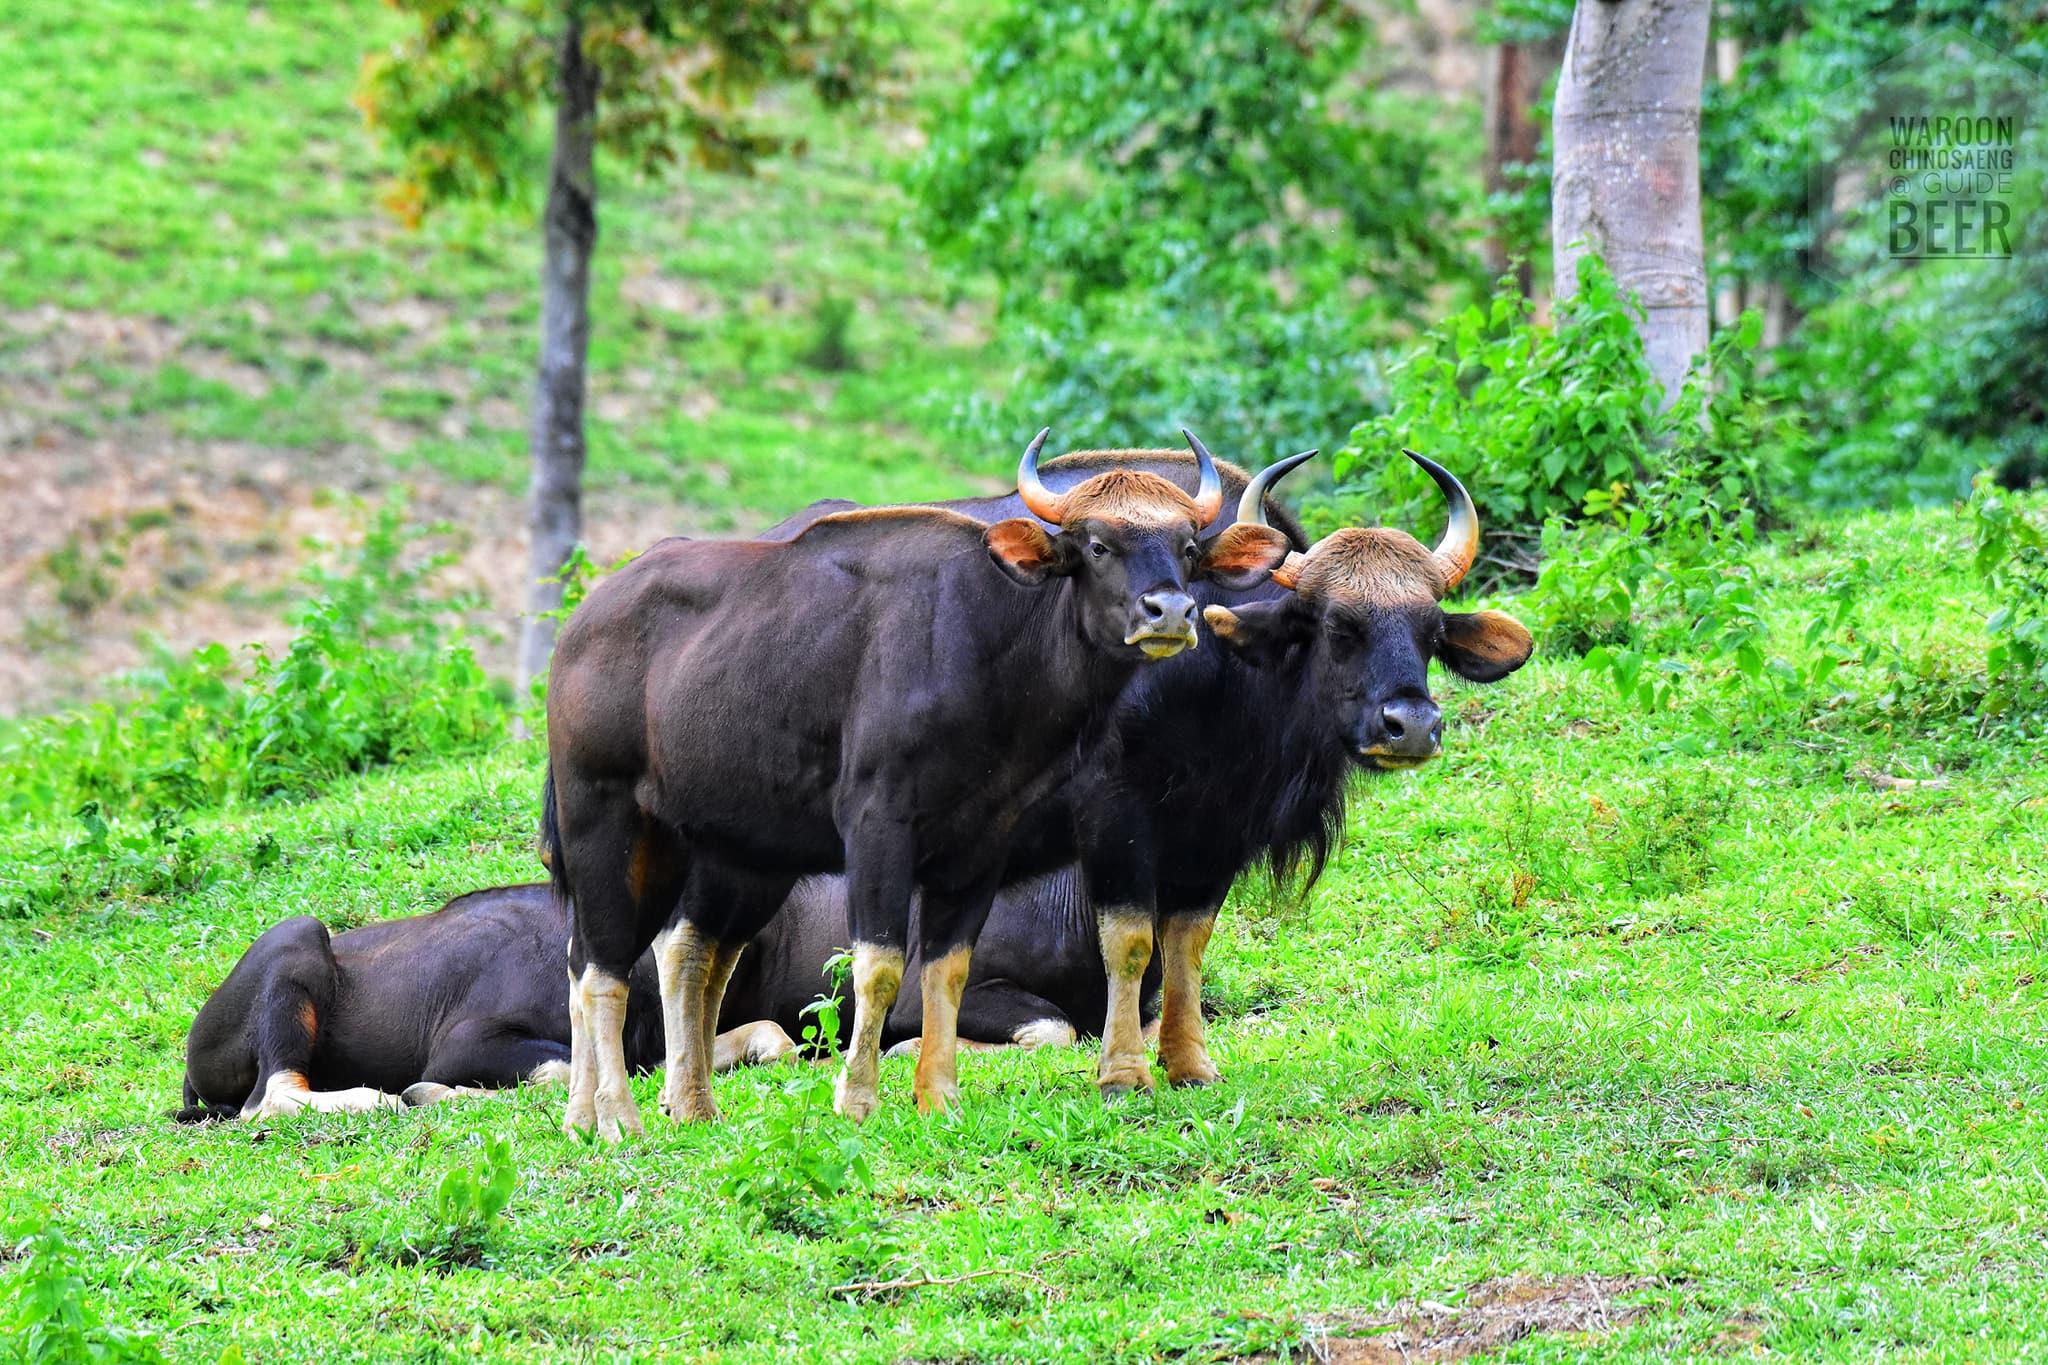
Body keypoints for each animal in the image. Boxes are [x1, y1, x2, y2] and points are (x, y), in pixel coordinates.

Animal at [543, 431, 1293, 1139]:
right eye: (1098, 544)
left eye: (1188, 547)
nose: (1170, 613)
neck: (987, 644)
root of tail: (581, 624)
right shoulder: (878, 827)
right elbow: (878, 965)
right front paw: (857, 1099)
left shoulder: (980, 844)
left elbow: (946, 967)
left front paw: (939, 1096)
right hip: (601, 818)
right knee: (606, 967)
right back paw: (618, 1117)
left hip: (711, 845)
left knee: (626, 954)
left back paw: (636, 1111)